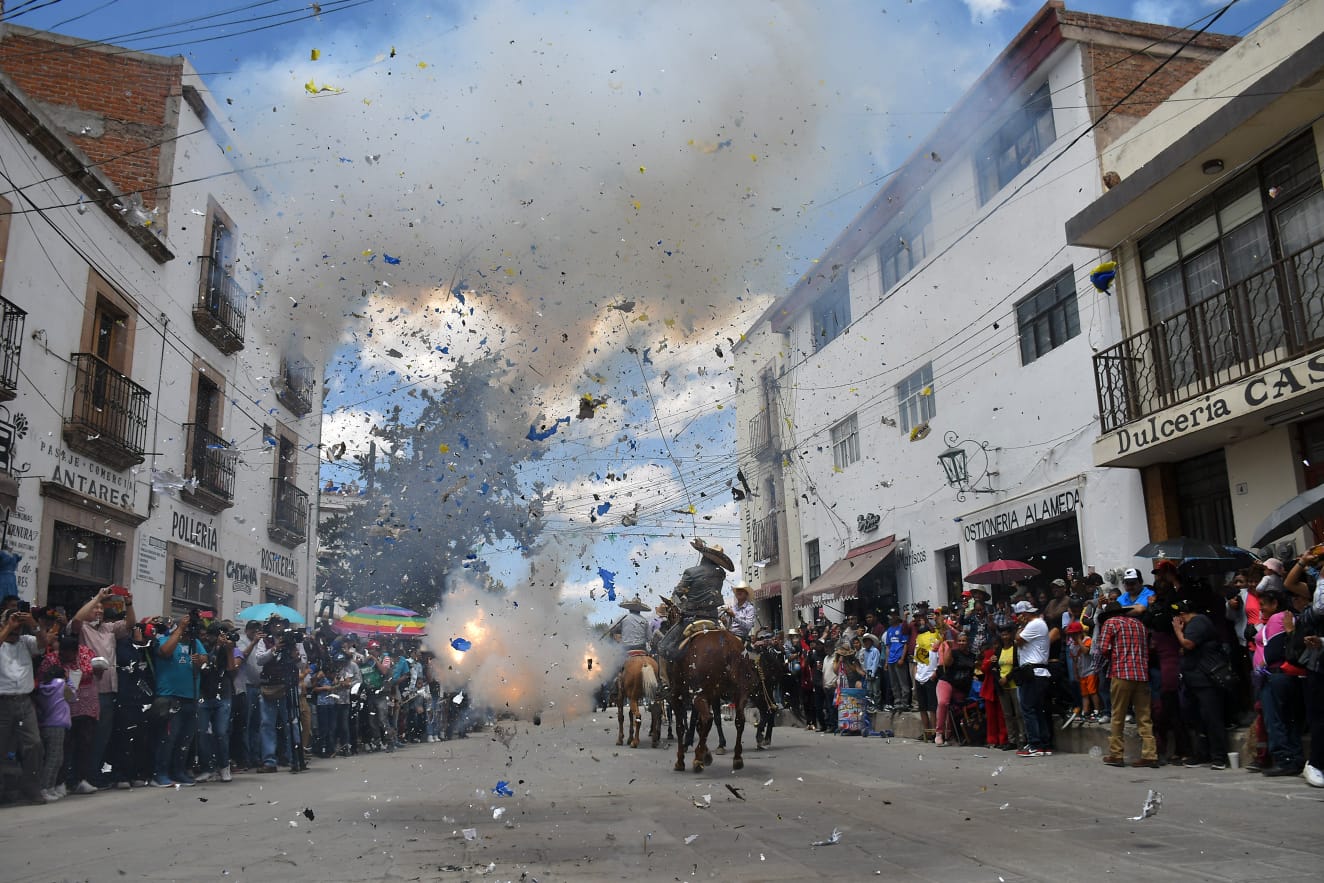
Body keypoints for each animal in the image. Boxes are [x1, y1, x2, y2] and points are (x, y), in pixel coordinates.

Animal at [667, 627, 762, 773]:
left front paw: (681, 761)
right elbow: (698, 724)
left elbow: (681, 726)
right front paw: (705, 753)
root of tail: (728, 646)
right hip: (740, 693)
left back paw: (698, 759)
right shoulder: (711, 696)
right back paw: (737, 758)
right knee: (739, 720)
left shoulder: (677, 696)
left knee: (708, 718)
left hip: (698, 695)